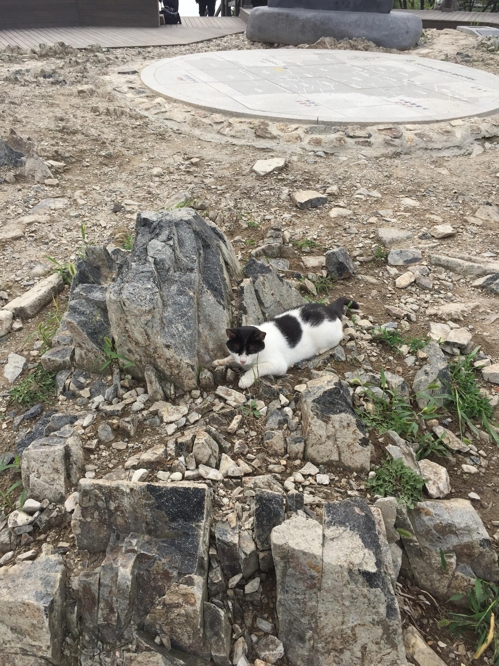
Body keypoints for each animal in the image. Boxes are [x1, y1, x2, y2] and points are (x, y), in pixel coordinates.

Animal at [213, 296, 358, 390]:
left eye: (252, 348)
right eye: (236, 347)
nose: (243, 360)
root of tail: (330, 311)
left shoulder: (277, 365)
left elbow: (258, 368)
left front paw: (245, 379)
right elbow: (231, 358)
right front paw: (221, 361)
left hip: (328, 336)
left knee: (338, 338)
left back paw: (320, 350)